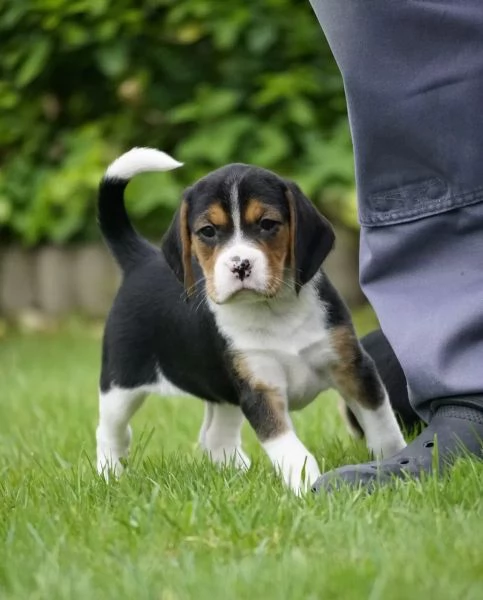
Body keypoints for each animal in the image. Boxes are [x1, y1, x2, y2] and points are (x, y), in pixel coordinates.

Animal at [96, 148, 406, 494]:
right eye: (207, 231)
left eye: (268, 224)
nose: (240, 265)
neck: (273, 310)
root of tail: (140, 258)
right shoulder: (259, 390)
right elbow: (291, 451)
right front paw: (307, 489)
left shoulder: (354, 369)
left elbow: (384, 426)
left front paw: (394, 463)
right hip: (121, 385)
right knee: (110, 432)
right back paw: (110, 475)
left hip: (222, 393)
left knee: (214, 436)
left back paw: (236, 473)